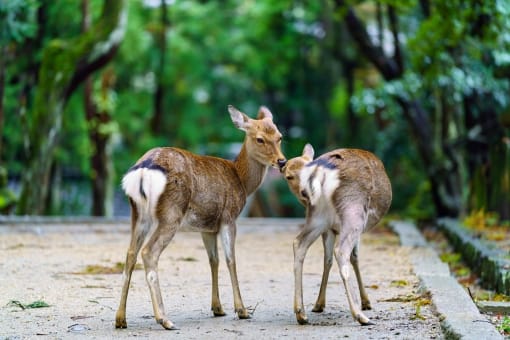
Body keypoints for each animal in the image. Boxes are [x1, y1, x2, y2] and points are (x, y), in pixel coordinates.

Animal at [116, 105, 288, 330]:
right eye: (260, 139)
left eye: (279, 136)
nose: (282, 161)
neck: (241, 180)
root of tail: (144, 170)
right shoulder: (228, 217)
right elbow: (231, 260)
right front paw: (242, 310)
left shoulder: (207, 227)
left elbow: (213, 260)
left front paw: (218, 308)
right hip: (171, 213)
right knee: (148, 253)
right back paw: (164, 319)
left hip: (138, 214)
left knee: (130, 254)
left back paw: (120, 319)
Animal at [280, 142, 392, 326]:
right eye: (288, 177)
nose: (303, 192)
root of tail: (320, 172)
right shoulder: (356, 227)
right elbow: (355, 257)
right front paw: (366, 302)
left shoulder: (330, 229)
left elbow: (327, 260)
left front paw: (319, 304)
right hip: (353, 213)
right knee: (341, 251)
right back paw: (360, 315)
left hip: (318, 217)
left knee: (299, 243)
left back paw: (301, 313)